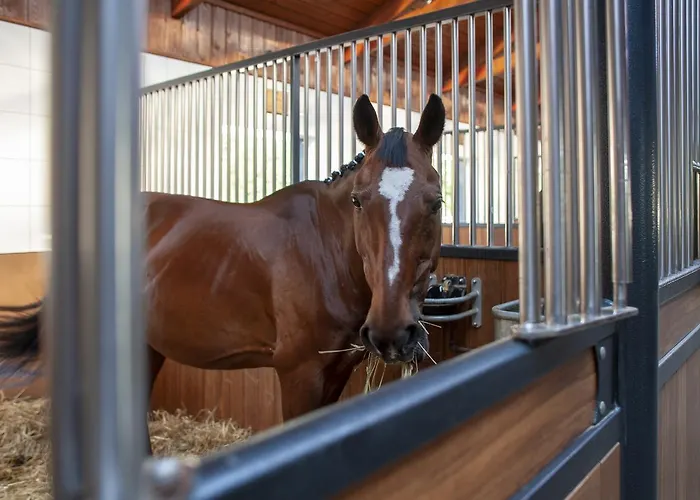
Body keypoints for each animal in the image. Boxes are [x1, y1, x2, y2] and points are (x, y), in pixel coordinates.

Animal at [0, 93, 446, 453]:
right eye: (357, 200)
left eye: (436, 202)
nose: (391, 333)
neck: (325, 253)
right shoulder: (299, 375)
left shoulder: (335, 372)